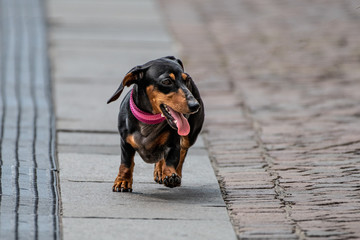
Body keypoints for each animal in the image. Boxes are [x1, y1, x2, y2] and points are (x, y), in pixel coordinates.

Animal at [107, 55, 204, 191]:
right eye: (167, 81)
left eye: (187, 80)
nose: (195, 105)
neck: (149, 120)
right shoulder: (125, 142)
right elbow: (126, 163)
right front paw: (123, 181)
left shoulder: (174, 144)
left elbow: (172, 159)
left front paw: (170, 174)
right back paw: (159, 171)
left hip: (189, 137)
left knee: (182, 153)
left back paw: (175, 173)